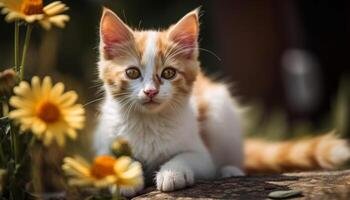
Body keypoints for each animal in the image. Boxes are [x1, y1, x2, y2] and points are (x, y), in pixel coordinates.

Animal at [93, 7, 350, 196]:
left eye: (168, 73)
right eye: (132, 73)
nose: (150, 92)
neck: (148, 122)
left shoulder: (201, 153)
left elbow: (188, 157)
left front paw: (172, 173)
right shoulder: (104, 143)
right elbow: (114, 161)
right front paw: (124, 175)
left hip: (220, 113)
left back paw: (230, 171)